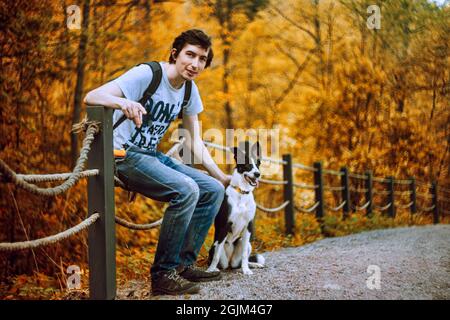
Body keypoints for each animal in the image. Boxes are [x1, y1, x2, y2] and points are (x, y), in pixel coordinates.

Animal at [207, 141, 266, 274]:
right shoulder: (225, 225)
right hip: (215, 246)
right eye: (248, 165)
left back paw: (253, 264)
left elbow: (244, 255)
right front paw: (211, 269)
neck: (242, 193)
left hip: (246, 244)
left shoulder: (249, 226)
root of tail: (229, 263)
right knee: (218, 259)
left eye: (258, 164)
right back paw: (214, 268)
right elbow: (216, 255)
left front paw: (246, 270)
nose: (257, 174)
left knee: (238, 263)